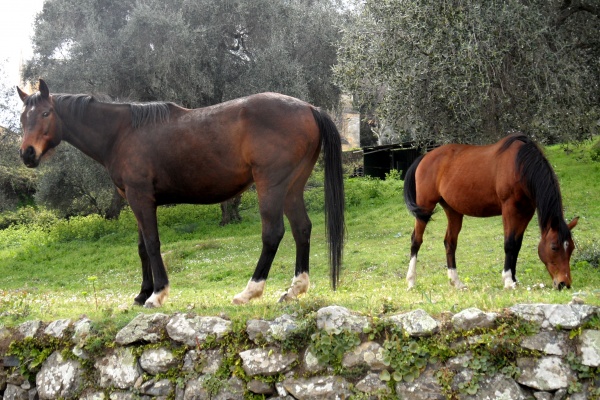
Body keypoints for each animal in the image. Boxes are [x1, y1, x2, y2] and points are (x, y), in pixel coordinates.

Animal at [16, 79, 344, 308]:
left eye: (45, 113)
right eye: (22, 118)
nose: (27, 154)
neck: (122, 133)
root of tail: (309, 108)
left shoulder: (140, 198)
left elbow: (152, 244)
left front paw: (157, 294)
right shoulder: (134, 200)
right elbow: (141, 247)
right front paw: (142, 293)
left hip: (271, 185)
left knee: (273, 233)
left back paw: (249, 291)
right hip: (292, 188)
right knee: (302, 228)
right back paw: (294, 289)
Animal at [404, 133, 576, 292]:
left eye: (572, 247)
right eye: (554, 247)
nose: (564, 283)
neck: (520, 165)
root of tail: (425, 157)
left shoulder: (526, 211)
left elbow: (517, 244)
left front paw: (514, 279)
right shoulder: (509, 208)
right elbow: (509, 243)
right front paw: (508, 280)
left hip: (453, 211)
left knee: (450, 243)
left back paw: (456, 282)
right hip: (425, 207)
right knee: (416, 240)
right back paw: (411, 281)